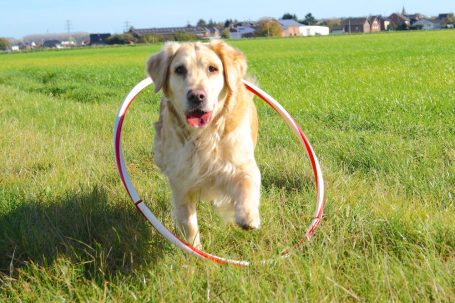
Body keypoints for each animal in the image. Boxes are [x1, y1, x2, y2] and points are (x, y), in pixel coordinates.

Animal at [148, 40, 262, 249]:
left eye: (212, 68)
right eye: (179, 69)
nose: (196, 96)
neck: (203, 135)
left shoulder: (242, 163)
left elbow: (247, 182)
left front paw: (248, 217)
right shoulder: (181, 182)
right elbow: (188, 221)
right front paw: (194, 249)